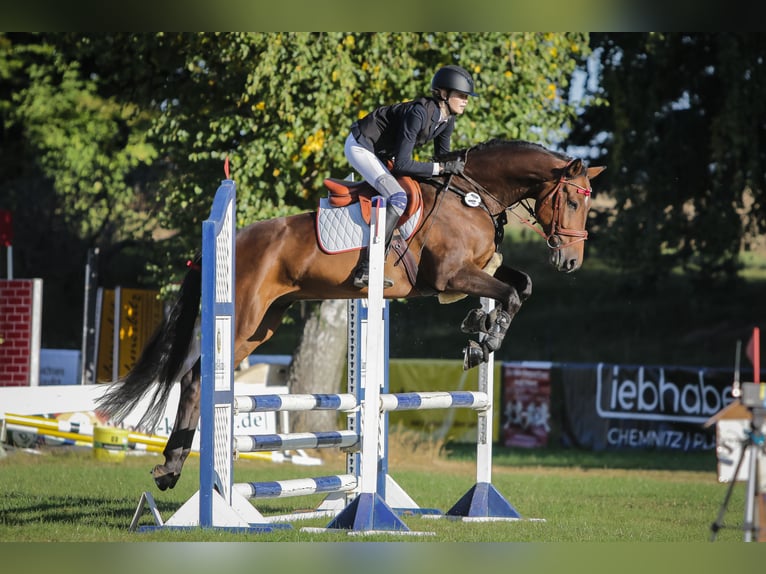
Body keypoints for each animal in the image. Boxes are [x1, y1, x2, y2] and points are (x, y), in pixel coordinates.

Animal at [97, 138, 605, 491]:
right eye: (572, 201)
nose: (571, 262)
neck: (474, 195)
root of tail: (232, 238)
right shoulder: (451, 276)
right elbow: (512, 294)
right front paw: (485, 340)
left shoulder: (477, 271)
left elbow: (521, 284)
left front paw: (477, 330)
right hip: (240, 319)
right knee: (196, 378)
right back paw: (175, 469)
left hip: (262, 326)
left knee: (199, 379)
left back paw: (173, 468)